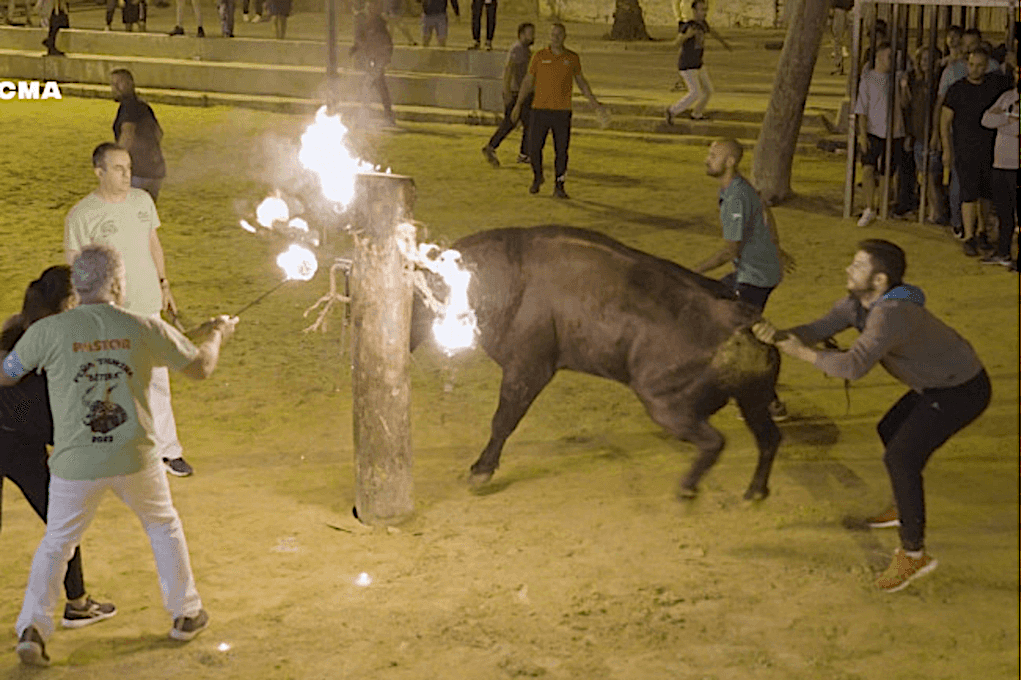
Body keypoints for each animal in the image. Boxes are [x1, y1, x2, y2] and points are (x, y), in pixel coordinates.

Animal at [407, 228, 782, 499]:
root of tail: (739, 318)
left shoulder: (527, 369)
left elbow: (503, 421)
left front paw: (482, 470)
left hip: (666, 404)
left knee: (714, 442)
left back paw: (689, 488)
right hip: (752, 399)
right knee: (769, 438)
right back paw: (756, 490)